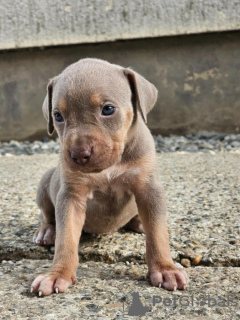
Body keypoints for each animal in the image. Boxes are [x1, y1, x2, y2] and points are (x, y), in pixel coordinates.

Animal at [30, 58, 188, 296]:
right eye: (57, 116)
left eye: (108, 109)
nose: (78, 154)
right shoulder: (70, 196)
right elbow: (66, 238)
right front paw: (57, 274)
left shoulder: (149, 188)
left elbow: (157, 233)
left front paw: (165, 269)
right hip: (45, 184)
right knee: (47, 215)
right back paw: (47, 231)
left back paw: (139, 222)